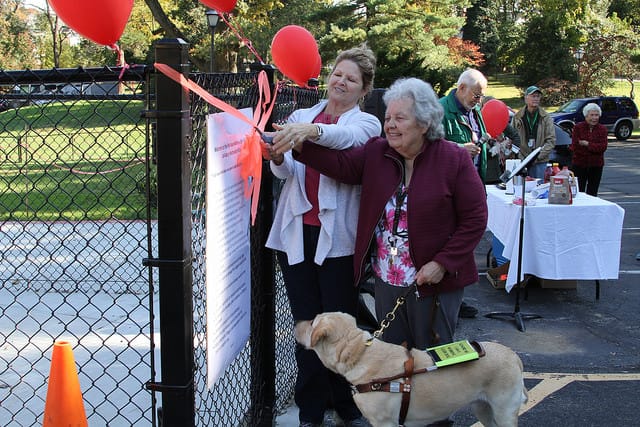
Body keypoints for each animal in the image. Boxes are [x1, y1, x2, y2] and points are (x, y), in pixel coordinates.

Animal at [298, 310, 528, 427]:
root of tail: (514, 355)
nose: (296, 322)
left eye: (311, 322)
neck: (359, 352)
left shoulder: (384, 423)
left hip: (504, 411)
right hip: (483, 409)